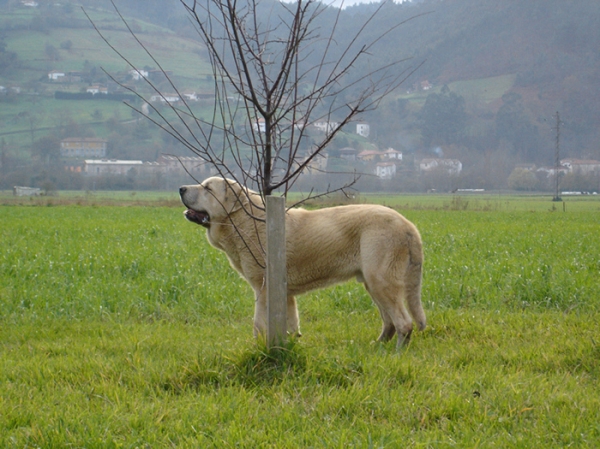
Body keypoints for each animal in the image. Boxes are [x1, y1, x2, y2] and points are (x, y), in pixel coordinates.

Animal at [179, 177, 426, 344]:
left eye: (207, 188)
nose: (181, 188)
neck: (242, 220)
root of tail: (409, 226)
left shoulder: (263, 289)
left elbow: (259, 325)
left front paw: (257, 347)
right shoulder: (285, 295)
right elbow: (289, 325)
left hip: (380, 281)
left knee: (404, 323)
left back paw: (396, 354)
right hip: (372, 284)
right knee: (390, 322)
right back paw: (378, 347)